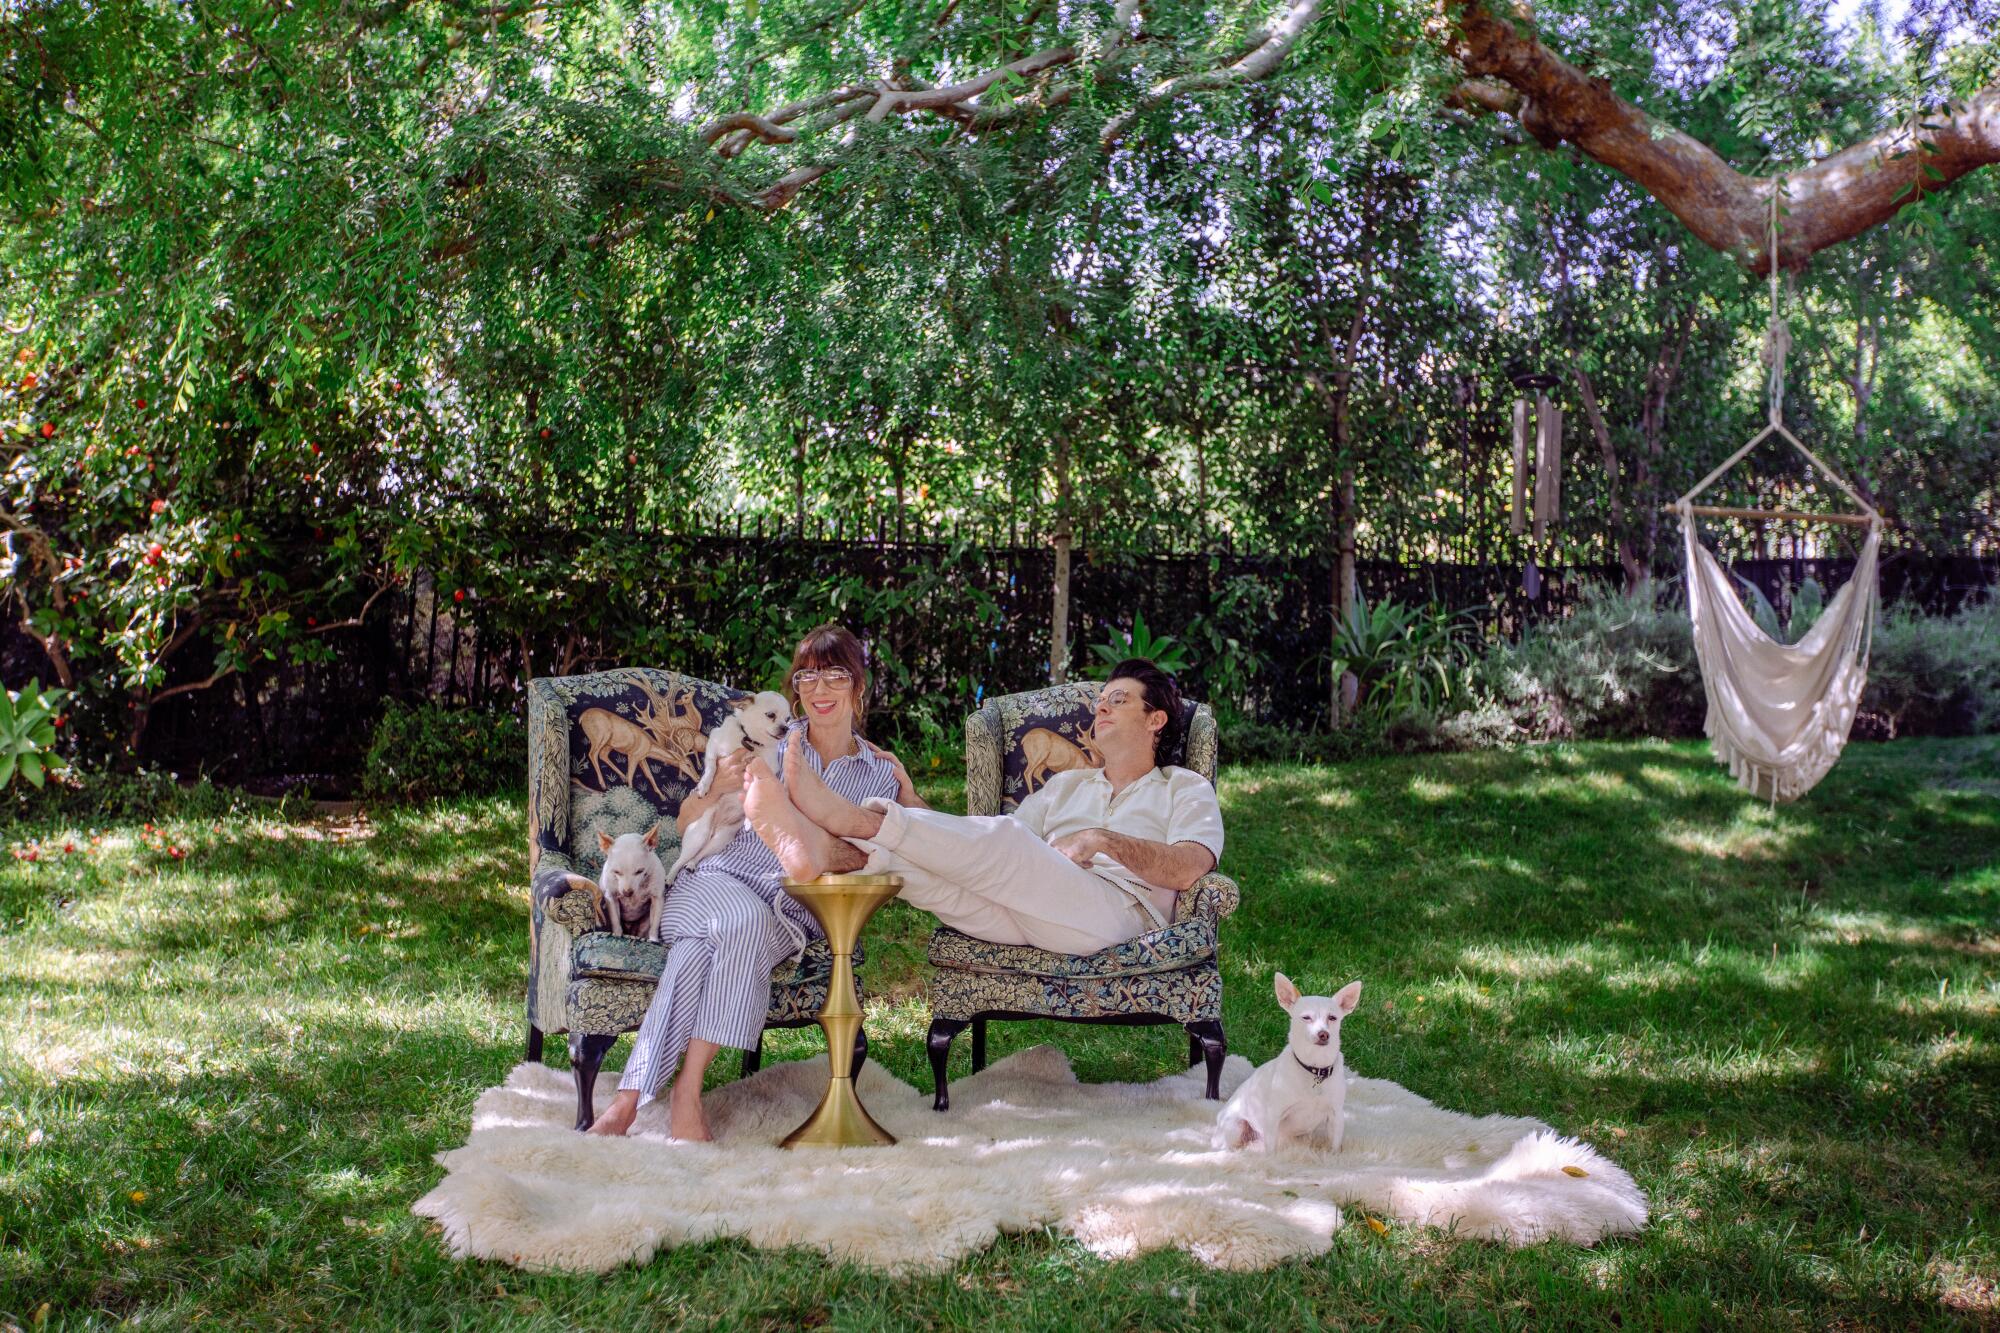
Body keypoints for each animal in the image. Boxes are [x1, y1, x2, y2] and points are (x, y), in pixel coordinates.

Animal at [1216, 972, 1360, 1144]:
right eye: (1306, 1018)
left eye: (1332, 1018)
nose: (1323, 1034)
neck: (1315, 1068)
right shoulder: (1273, 1117)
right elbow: (1271, 1149)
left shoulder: (1336, 1117)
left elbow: (1335, 1147)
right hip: (1235, 1127)